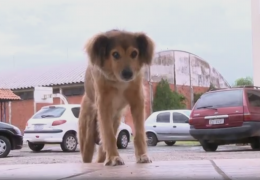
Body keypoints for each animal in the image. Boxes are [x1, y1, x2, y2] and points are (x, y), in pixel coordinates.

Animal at [77, 29, 154, 166]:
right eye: (115, 54)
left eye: (134, 53)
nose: (128, 74)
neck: (118, 81)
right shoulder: (104, 105)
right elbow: (109, 135)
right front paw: (114, 157)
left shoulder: (137, 101)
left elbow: (139, 133)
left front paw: (142, 155)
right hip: (86, 138)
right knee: (87, 155)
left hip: (115, 121)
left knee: (102, 149)